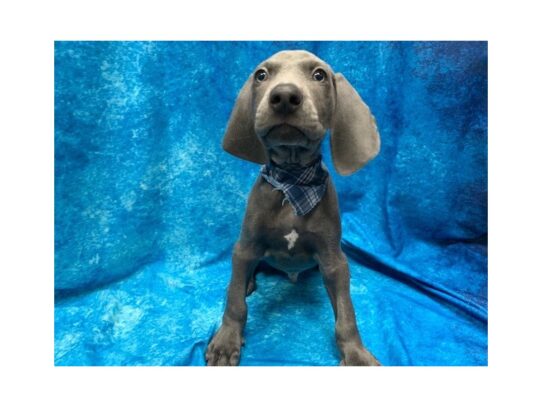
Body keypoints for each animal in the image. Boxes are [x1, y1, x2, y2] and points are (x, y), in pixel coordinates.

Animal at [206, 50, 380, 366]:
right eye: (261, 75)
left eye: (319, 75)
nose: (285, 96)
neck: (292, 182)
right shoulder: (245, 246)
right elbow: (235, 303)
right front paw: (226, 341)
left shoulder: (334, 259)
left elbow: (346, 313)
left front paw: (356, 354)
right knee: (242, 278)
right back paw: (246, 283)